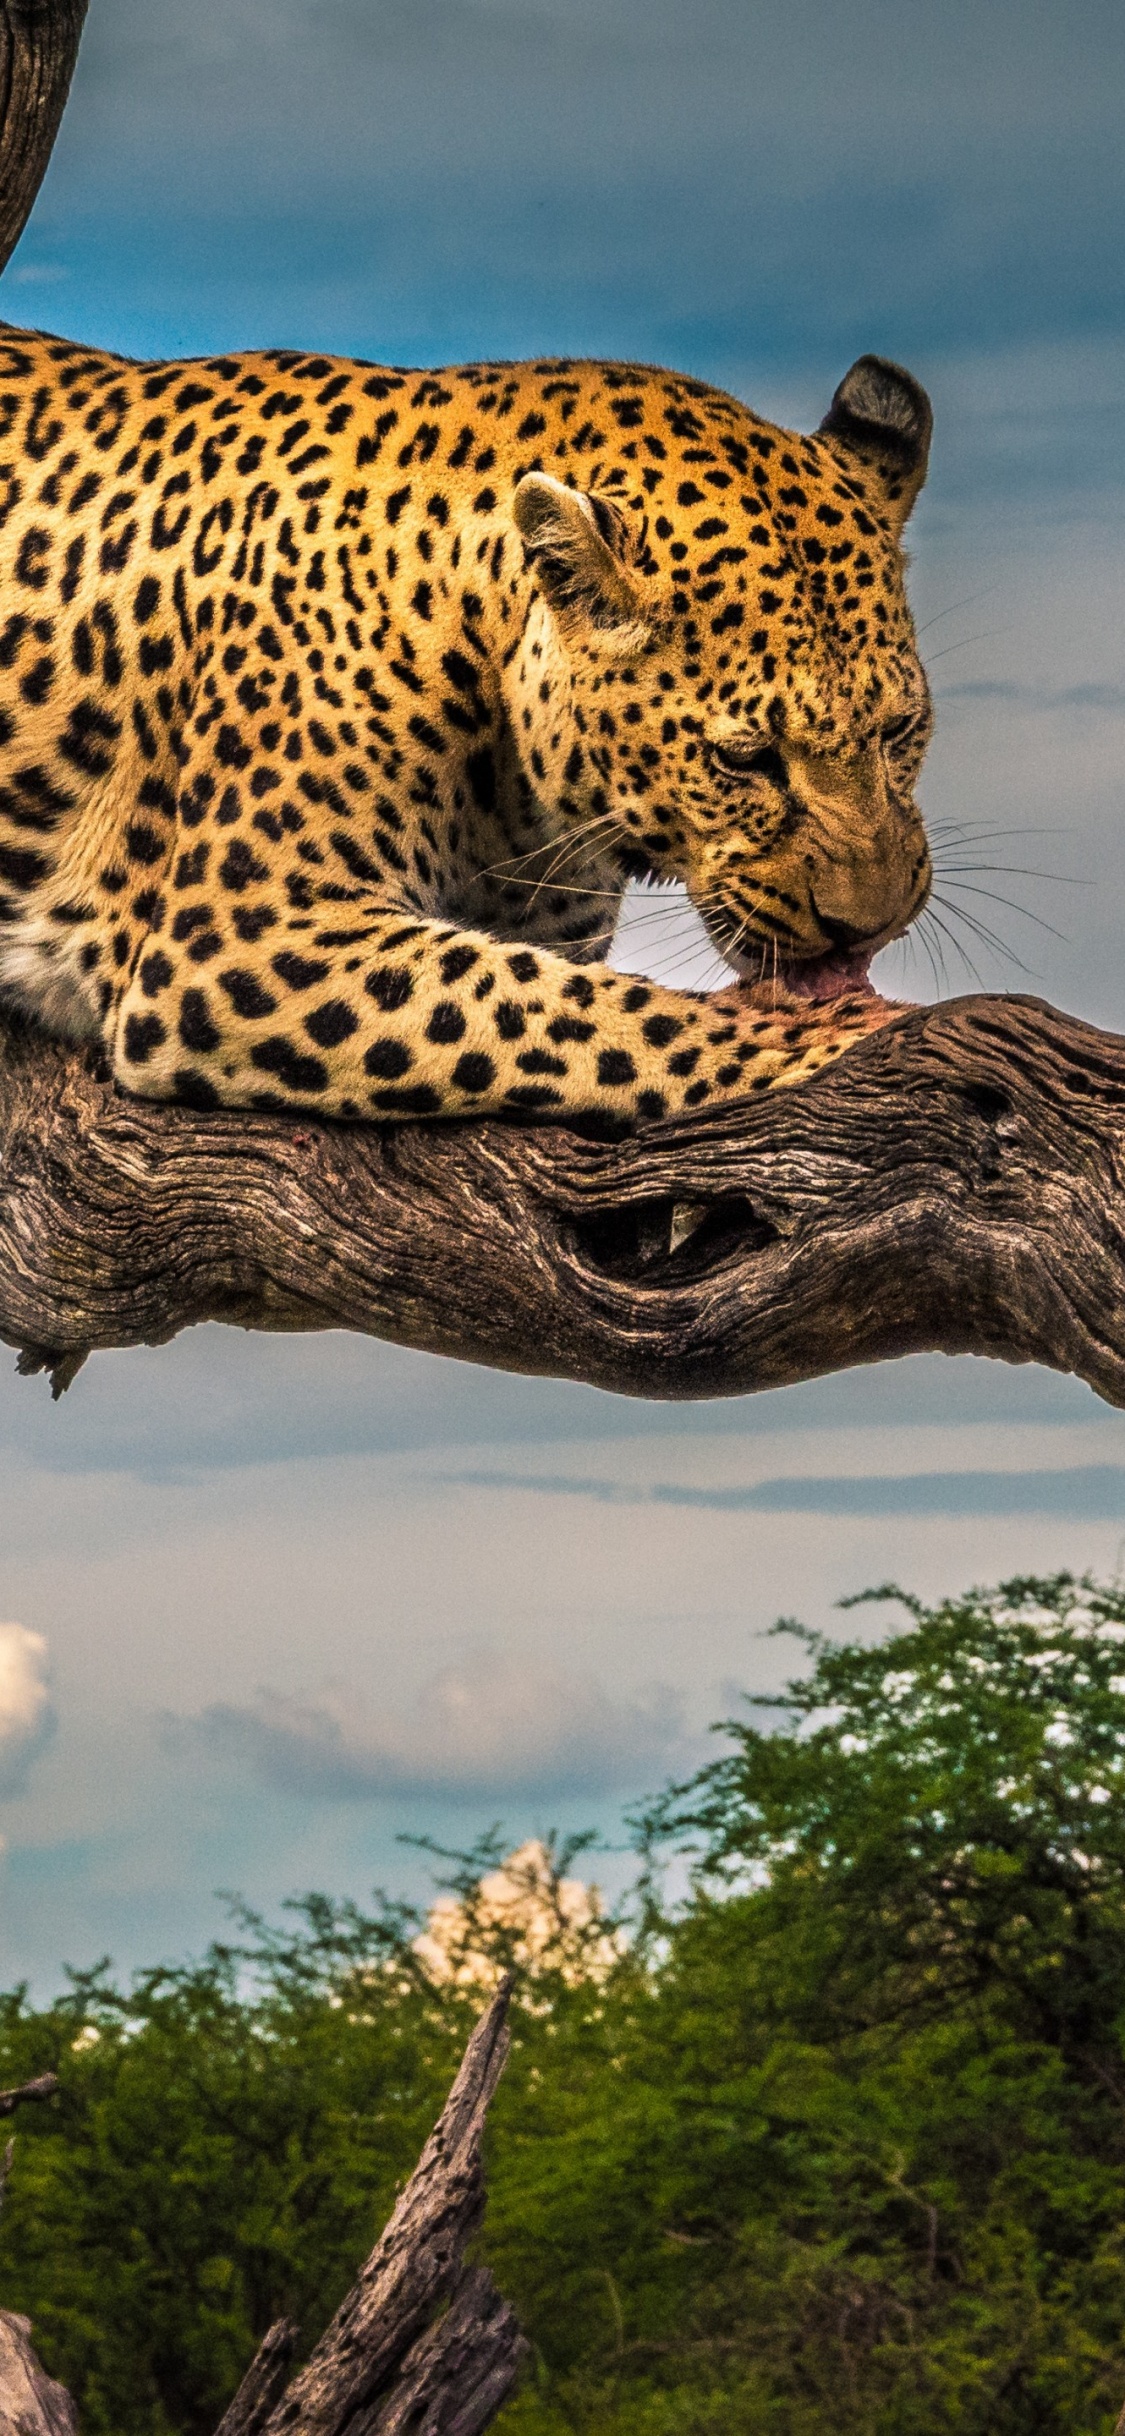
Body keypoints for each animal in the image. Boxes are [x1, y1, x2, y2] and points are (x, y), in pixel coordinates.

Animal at [0, 328, 934, 1128]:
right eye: (743, 758)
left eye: (900, 731)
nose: (868, 929)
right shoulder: (242, 939)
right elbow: (566, 1013)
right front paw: (811, 1033)